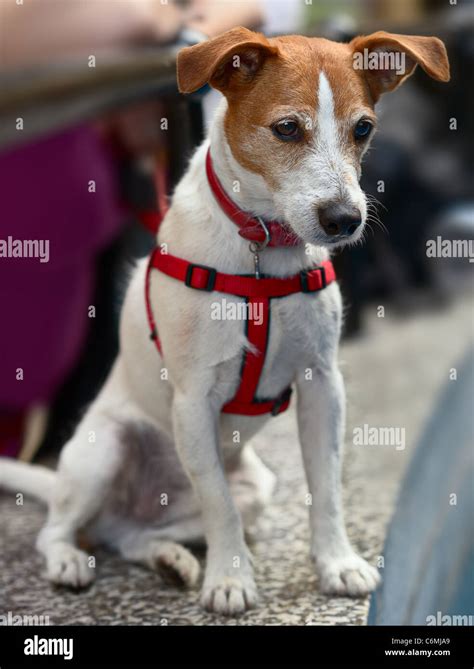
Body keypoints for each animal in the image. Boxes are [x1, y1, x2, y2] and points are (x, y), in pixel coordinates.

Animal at [0, 27, 448, 616]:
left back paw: (170, 559)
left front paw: (337, 563)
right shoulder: (194, 401)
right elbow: (219, 506)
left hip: (254, 487)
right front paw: (231, 579)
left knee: (132, 537)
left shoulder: (322, 383)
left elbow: (326, 486)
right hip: (104, 449)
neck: (261, 244)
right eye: (287, 128)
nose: (345, 220)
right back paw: (69, 561)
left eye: (363, 129)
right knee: (56, 530)